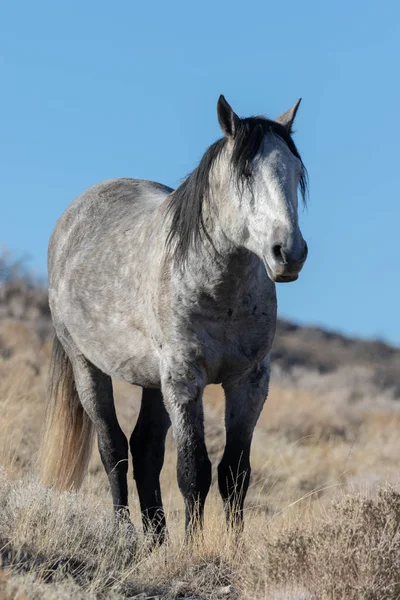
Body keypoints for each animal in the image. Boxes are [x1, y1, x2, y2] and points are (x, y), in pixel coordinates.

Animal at [39, 92, 310, 544]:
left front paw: (231, 547)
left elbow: (235, 473)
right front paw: (194, 547)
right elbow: (193, 471)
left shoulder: (249, 382)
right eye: (245, 174)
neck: (221, 294)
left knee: (145, 448)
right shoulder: (185, 380)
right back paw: (126, 534)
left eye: (295, 171)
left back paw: (156, 538)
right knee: (113, 447)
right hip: (88, 367)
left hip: (154, 381)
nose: (288, 252)